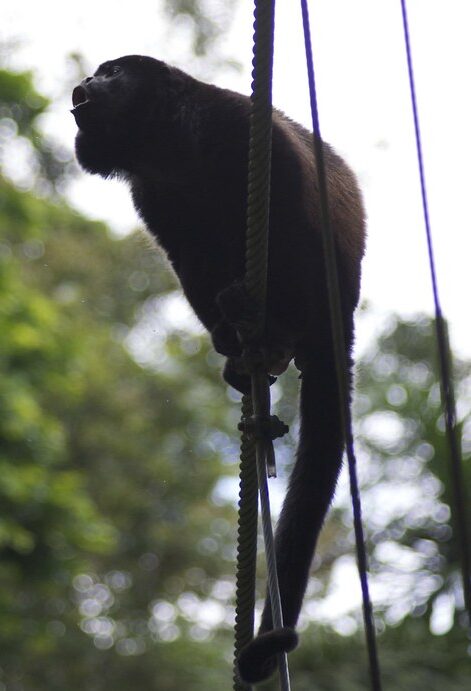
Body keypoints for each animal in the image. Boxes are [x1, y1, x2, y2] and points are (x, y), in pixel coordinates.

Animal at [71, 55, 365, 684]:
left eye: (113, 72)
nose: (87, 82)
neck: (166, 143)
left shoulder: (231, 124)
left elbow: (285, 183)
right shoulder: (152, 191)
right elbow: (183, 255)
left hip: (317, 283)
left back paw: (271, 326)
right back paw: (237, 340)